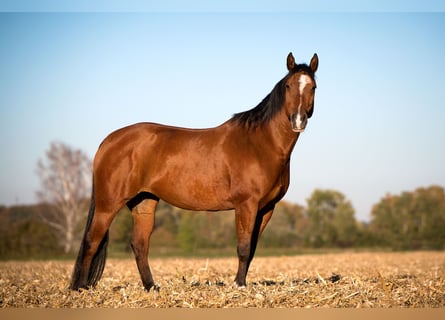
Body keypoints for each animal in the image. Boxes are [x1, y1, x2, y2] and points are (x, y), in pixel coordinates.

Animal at [71, 51, 318, 292]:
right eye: (288, 86)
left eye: (313, 87)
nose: (298, 120)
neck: (259, 144)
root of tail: (109, 140)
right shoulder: (246, 205)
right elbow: (244, 247)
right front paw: (239, 285)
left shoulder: (266, 208)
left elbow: (253, 249)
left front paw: (241, 283)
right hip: (108, 204)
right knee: (92, 240)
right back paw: (80, 288)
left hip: (144, 202)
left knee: (139, 245)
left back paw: (151, 287)